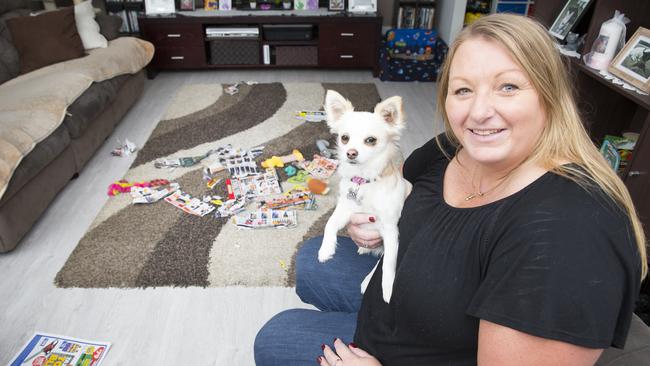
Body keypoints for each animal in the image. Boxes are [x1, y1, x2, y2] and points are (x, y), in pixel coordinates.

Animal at [318, 91, 410, 304]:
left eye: (370, 140)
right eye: (344, 138)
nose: (351, 153)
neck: (364, 181)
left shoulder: (390, 230)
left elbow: (388, 264)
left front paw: (387, 289)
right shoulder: (346, 210)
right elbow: (330, 224)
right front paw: (326, 249)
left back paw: (368, 281)